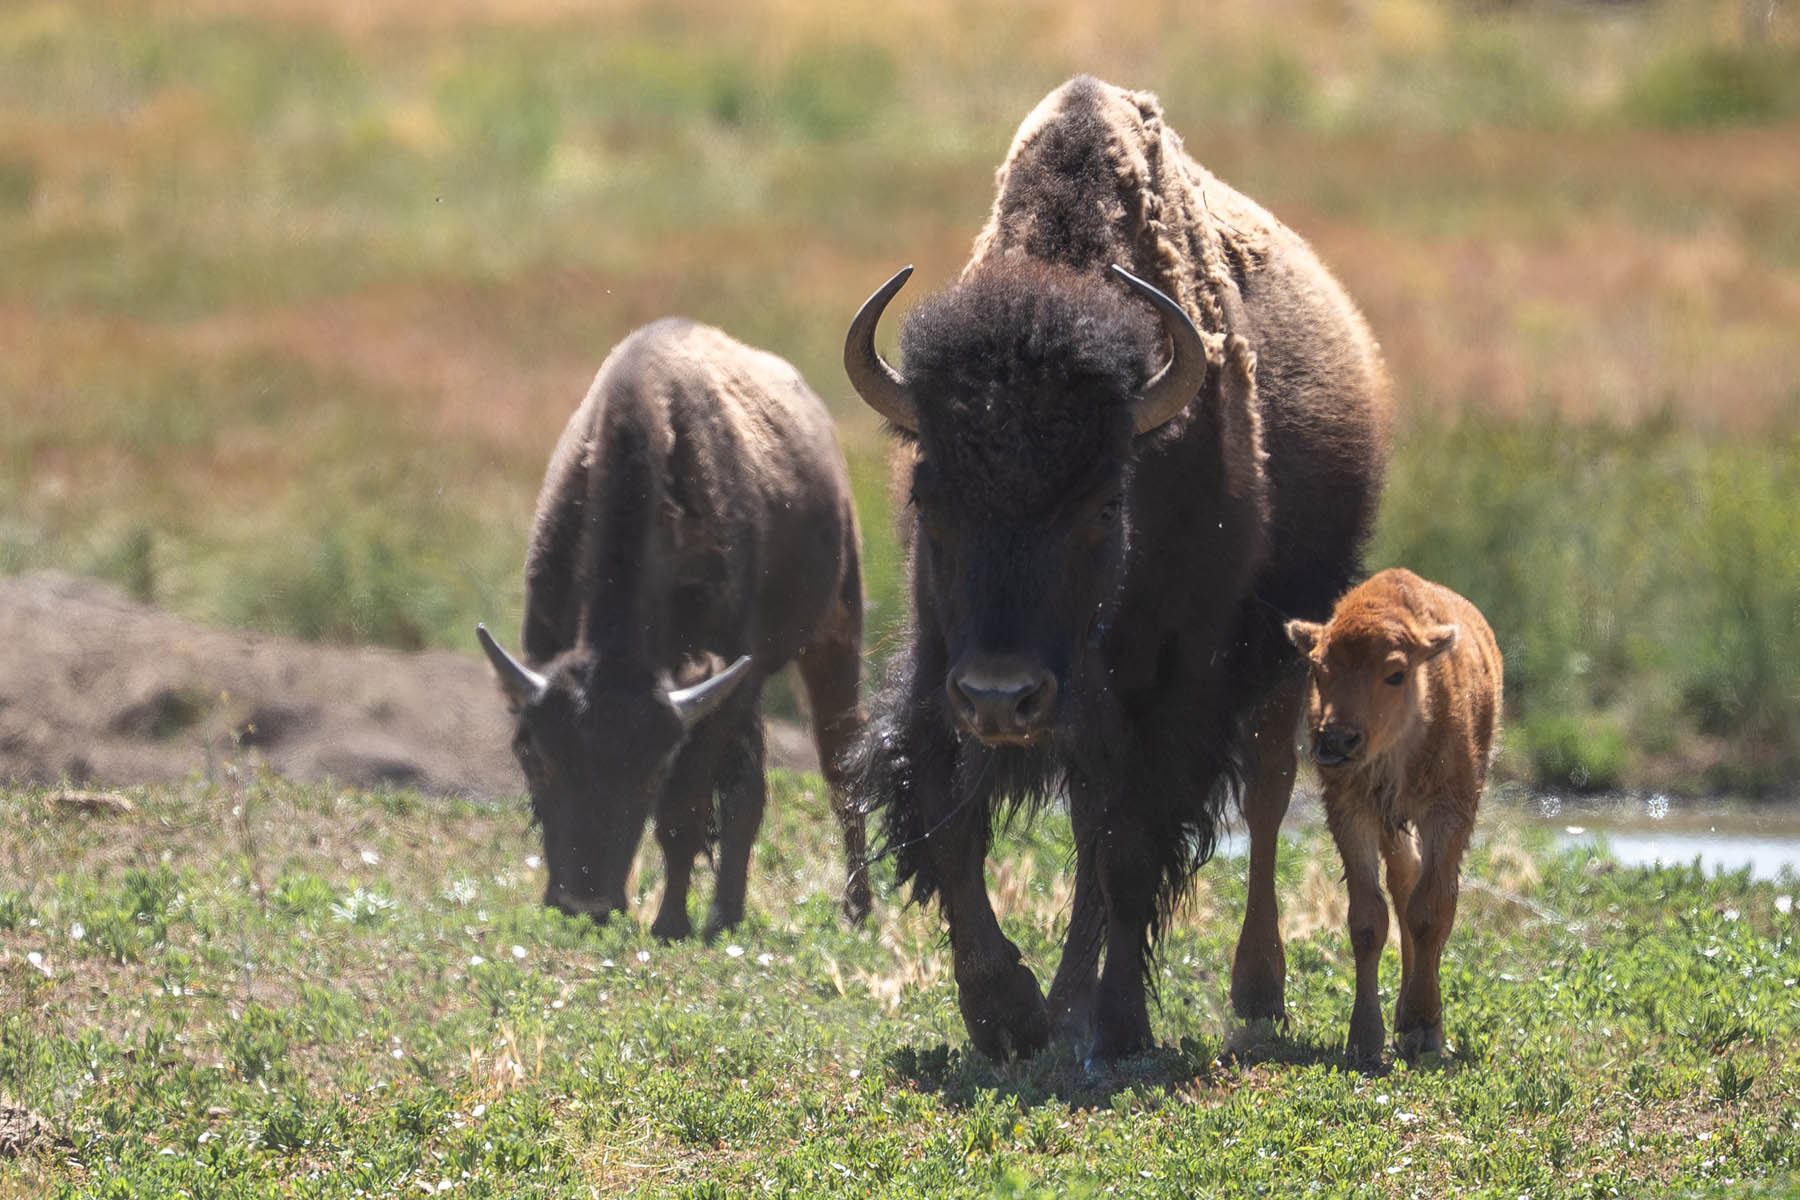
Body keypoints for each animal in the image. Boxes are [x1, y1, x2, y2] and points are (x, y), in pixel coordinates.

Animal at [479, 318, 870, 939]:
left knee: (840, 764)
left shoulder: (724, 688)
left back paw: (856, 908)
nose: (585, 903)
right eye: (535, 755)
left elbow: (683, 812)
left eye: (651, 771)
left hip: (835, 632)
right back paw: (725, 916)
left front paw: (669, 924)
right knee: (750, 789)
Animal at [845, 76, 1391, 1062]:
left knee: (1262, 795)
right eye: (929, 498)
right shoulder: (941, 669)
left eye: (1104, 503)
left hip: (1287, 653)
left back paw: (1253, 992)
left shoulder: (1179, 685)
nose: (1003, 698)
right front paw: (1008, 1014)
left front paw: (1119, 1025)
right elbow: (951, 824)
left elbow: (1134, 849)